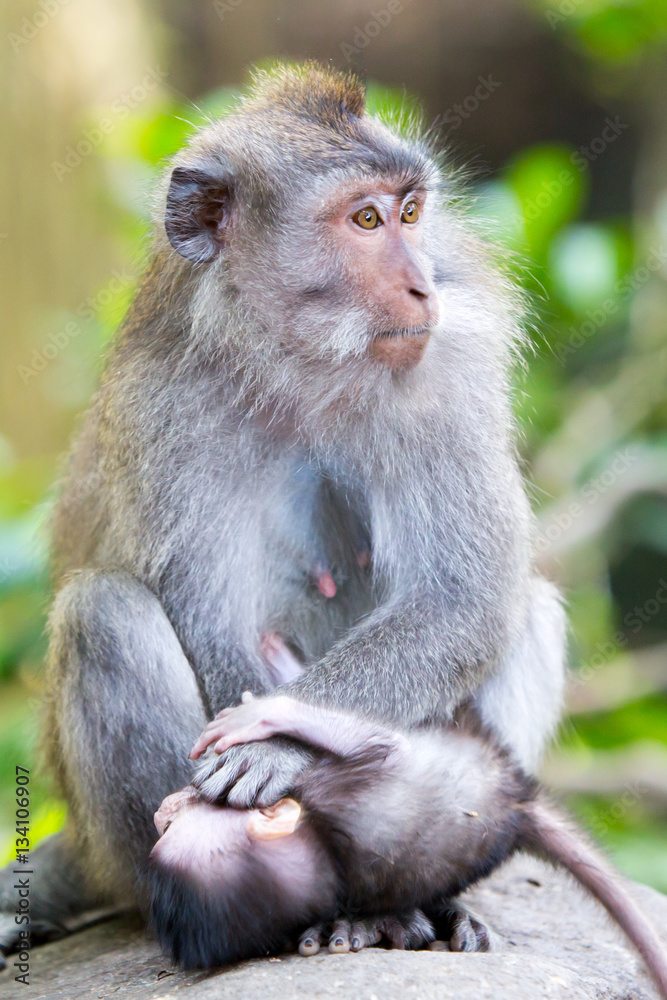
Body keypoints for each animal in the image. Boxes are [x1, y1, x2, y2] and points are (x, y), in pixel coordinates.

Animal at [0, 64, 568, 960]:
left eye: (411, 212)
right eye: (364, 219)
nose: (423, 284)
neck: (303, 364)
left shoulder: (443, 379)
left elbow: (463, 602)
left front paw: (276, 743)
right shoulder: (167, 407)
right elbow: (208, 618)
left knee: (525, 609)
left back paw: (410, 894)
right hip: (114, 845)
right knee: (103, 614)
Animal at [150, 696, 667, 1000]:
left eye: (174, 826)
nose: (159, 815)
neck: (326, 847)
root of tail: (519, 806)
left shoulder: (354, 793)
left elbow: (380, 741)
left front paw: (265, 713)